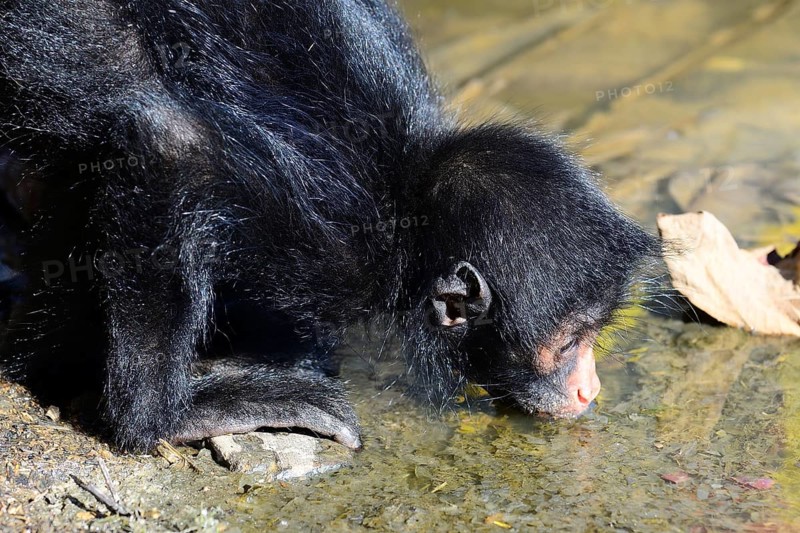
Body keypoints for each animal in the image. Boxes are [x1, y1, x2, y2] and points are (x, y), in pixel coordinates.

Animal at [0, 0, 658, 452]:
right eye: (569, 342)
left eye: (593, 334)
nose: (590, 388)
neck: (407, 199)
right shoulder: (335, 250)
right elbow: (166, 145)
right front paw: (156, 420)